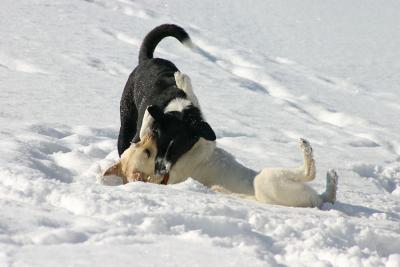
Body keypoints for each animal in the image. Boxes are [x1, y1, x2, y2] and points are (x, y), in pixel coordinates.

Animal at [103, 71, 338, 209]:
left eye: (141, 147)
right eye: (148, 153)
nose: (148, 138)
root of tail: (314, 203)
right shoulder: (205, 145)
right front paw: (181, 80)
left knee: (326, 195)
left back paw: (330, 179)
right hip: (267, 180)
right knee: (310, 175)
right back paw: (311, 155)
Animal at [117, 24, 216, 176]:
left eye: (179, 150)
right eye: (159, 144)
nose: (160, 170)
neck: (178, 109)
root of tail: (148, 59)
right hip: (127, 117)